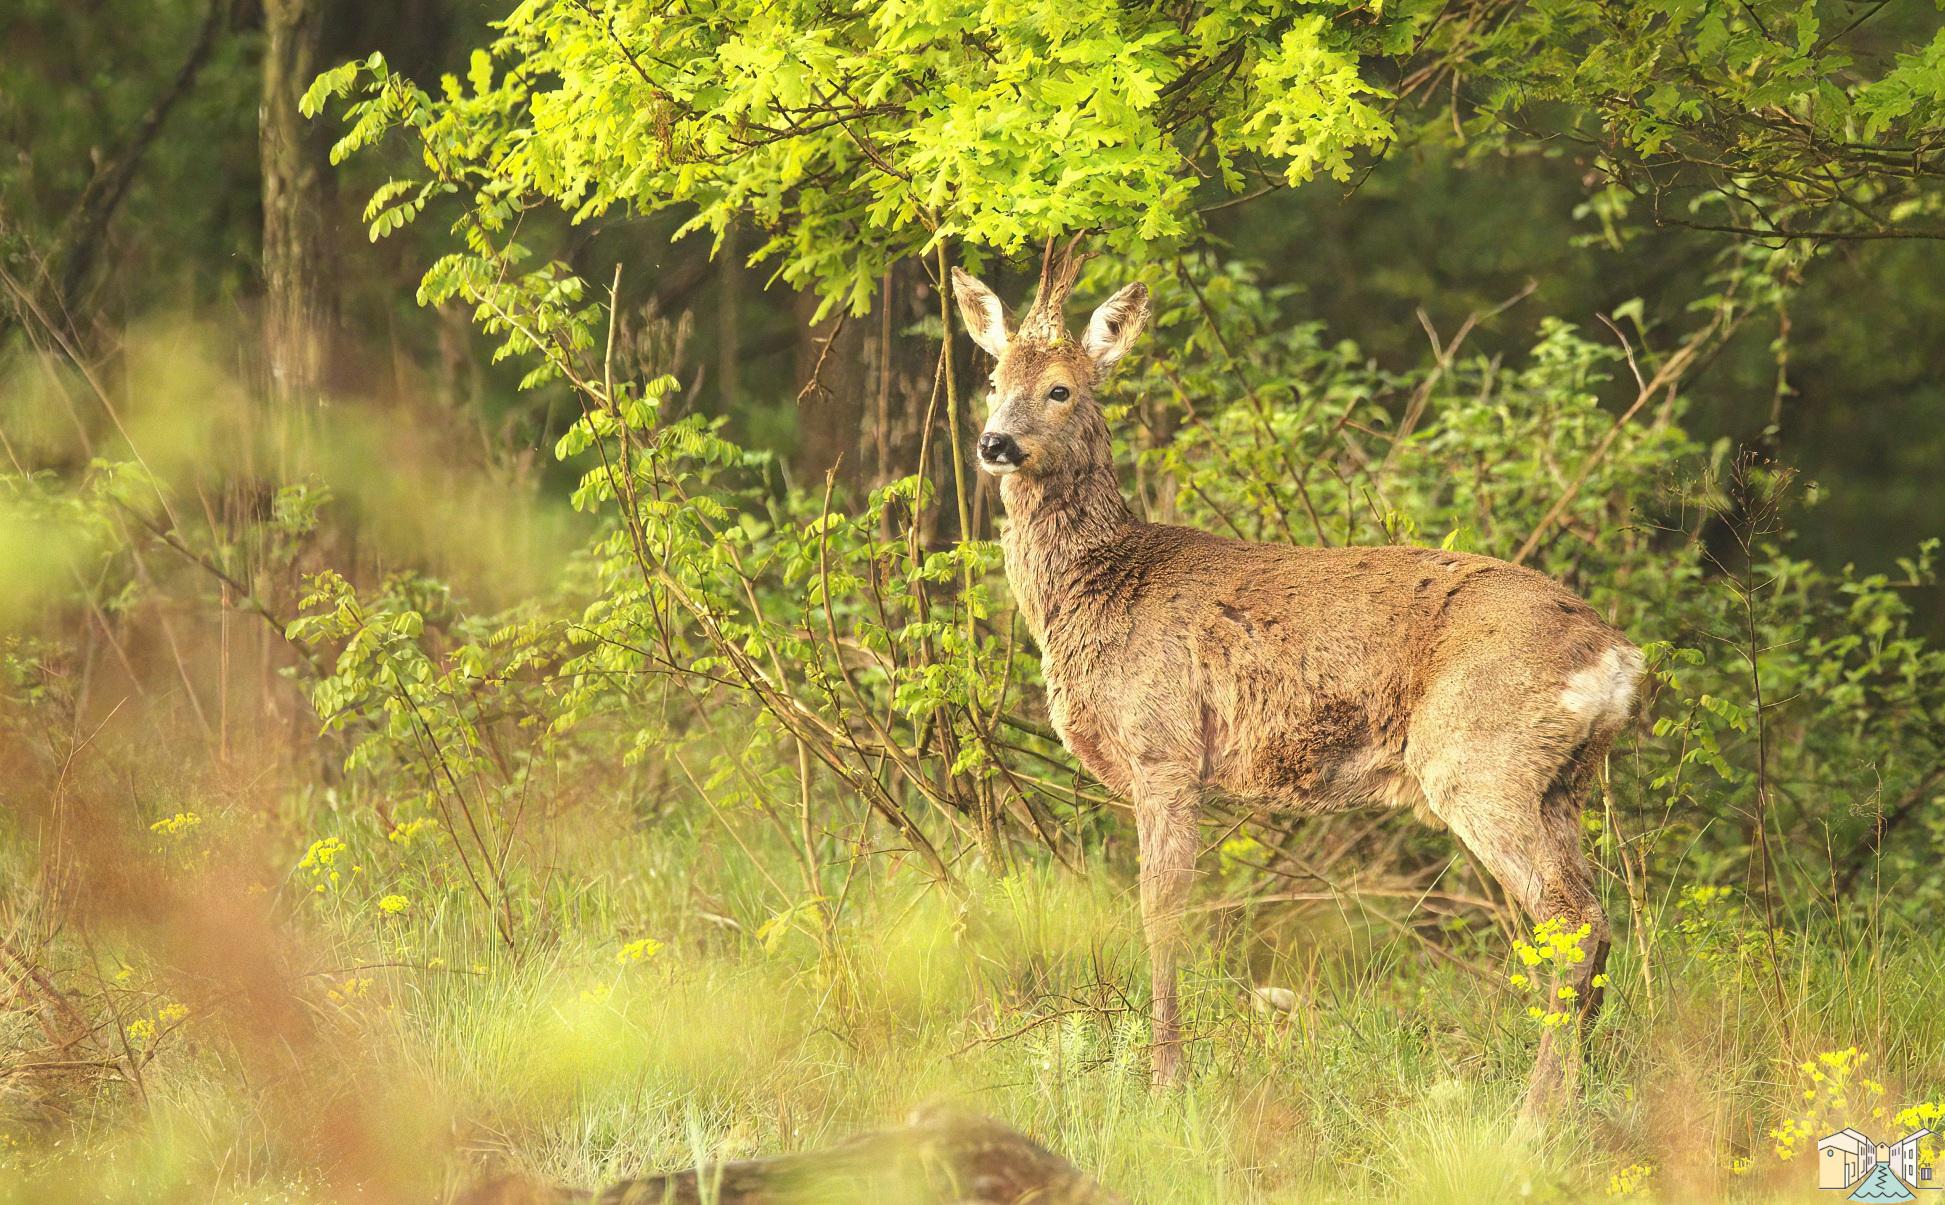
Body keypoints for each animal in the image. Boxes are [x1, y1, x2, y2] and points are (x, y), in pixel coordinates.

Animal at [956, 240, 1641, 1111]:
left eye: (1060, 387)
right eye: (991, 381)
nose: (994, 444)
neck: (1097, 585)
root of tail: (1615, 655)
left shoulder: (1164, 746)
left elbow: (1160, 910)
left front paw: (1165, 1080)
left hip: (1480, 758)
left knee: (1570, 915)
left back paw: (1533, 1113)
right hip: (1561, 782)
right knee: (1594, 919)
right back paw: (1572, 1093)